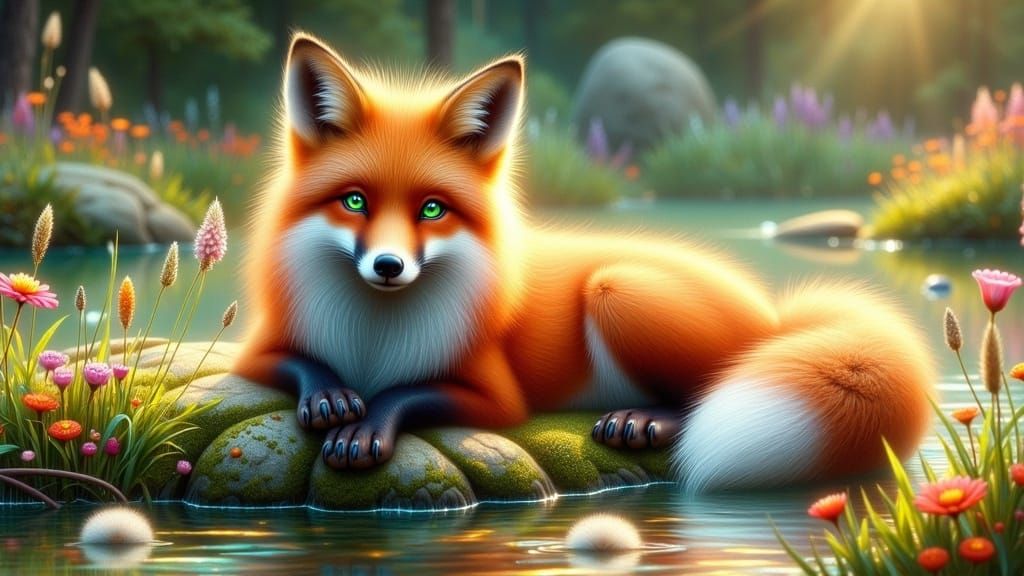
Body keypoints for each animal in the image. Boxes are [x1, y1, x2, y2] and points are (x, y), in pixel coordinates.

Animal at [234, 33, 936, 492]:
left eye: (432, 209)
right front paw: (331, 399)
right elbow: (304, 365)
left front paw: (365, 427)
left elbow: (405, 392)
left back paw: (643, 421)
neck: (372, 341)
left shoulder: (495, 396)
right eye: (355, 201)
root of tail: (774, 311)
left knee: (708, 390)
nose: (387, 266)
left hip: (617, 288)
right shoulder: (257, 353)